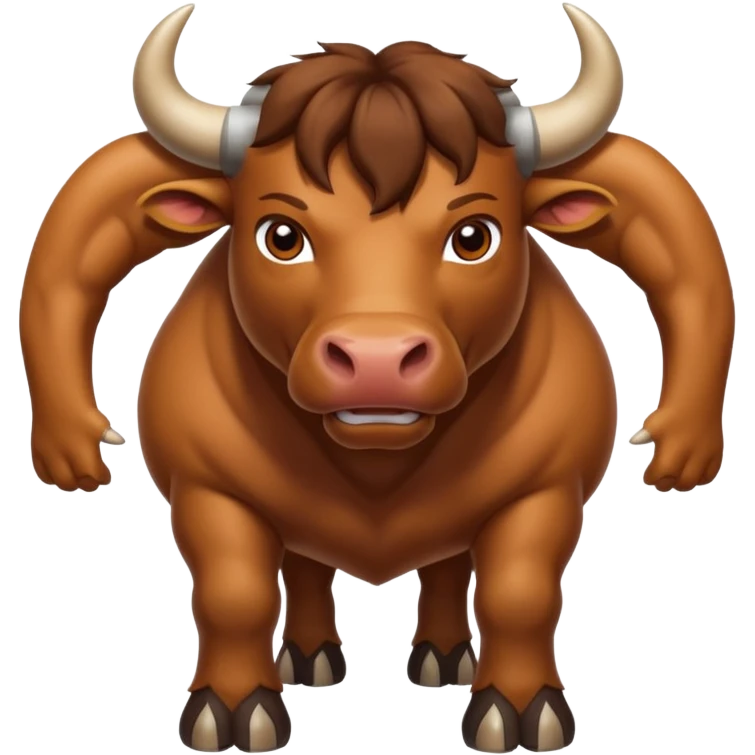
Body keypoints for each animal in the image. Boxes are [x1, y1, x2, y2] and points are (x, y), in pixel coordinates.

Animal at [19, 2, 734, 752]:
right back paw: (309, 657)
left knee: (448, 570)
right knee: (304, 570)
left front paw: (519, 706)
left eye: (474, 236)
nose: (377, 357)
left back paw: (443, 656)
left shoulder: (545, 492)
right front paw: (233, 704)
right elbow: (235, 593)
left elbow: (518, 593)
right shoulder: (207, 491)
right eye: (280, 235)